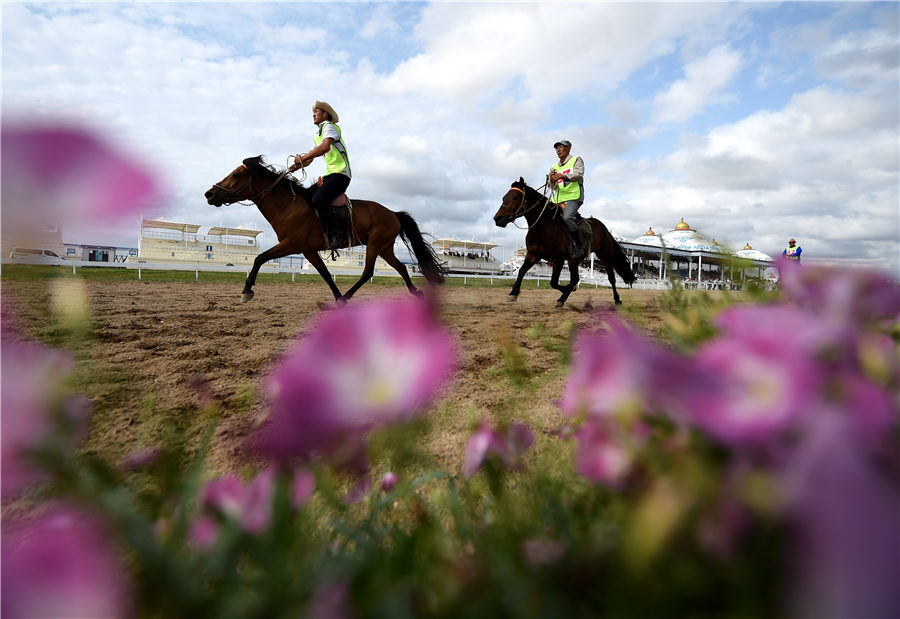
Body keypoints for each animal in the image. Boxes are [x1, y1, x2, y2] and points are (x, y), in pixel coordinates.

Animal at [202, 156, 444, 304]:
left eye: (236, 174)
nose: (209, 194)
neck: (288, 206)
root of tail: (393, 213)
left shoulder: (291, 244)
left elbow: (259, 258)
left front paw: (247, 291)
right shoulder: (308, 250)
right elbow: (326, 274)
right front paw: (336, 298)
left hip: (375, 245)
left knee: (368, 272)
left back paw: (349, 296)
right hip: (384, 248)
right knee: (401, 268)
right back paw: (416, 293)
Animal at [492, 178, 632, 306]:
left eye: (515, 197)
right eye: (504, 197)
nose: (497, 218)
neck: (544, 226)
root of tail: (603, 228)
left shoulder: (558, 259)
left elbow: (553, 282)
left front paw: (567, 290)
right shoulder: (533, 255)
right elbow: (521, 271)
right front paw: (513, 293)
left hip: (605, 255)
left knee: (611, 278)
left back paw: (617, 299)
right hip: (574, 260)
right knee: (575, 278)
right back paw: (563, 297)